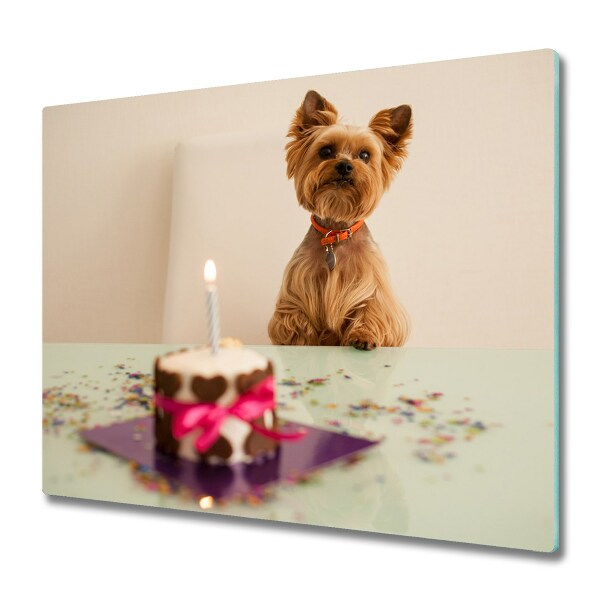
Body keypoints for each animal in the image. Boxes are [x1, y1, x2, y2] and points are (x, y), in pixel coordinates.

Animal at [268, 91, 412, 350]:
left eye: (365, 155)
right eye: (326, 151)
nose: (344, 165)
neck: (336, 233)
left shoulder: (374, 288)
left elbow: (371, 310)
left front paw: (364, 335)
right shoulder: (296, 289)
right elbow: (294, 318)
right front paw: (301, 339)